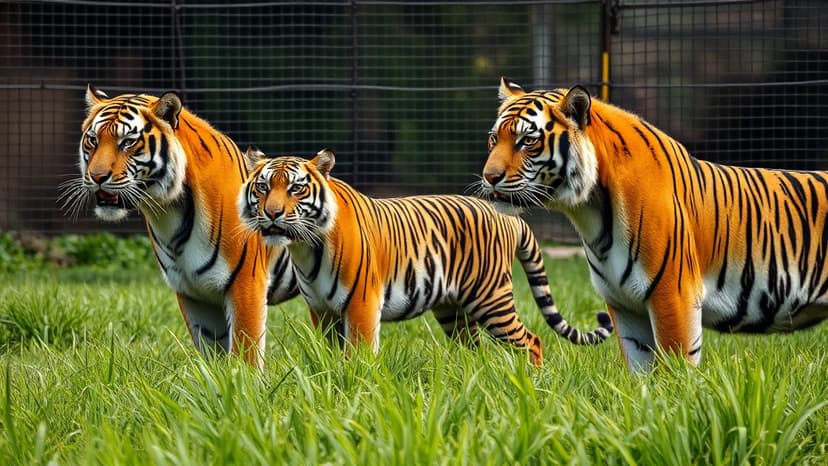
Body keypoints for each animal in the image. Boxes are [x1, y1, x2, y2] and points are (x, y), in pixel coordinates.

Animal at [60, 85, 299, 369]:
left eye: (127, 142)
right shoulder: (191, 288)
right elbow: (211, 350)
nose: (96, 177)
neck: (169, 211)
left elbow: (245, 352)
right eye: (93, 140)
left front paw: (244, 379)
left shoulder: (246, 282)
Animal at [237, 147, 613, 366]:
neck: (305, 246)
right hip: (452, 309)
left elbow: (358, 355)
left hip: (491, 299)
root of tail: (510, 217)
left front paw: (355, 386)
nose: (271, 214)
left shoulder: (361, 304)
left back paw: (533, 383)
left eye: (296, 188)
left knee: (531, 341)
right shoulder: (322, 309)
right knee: (473, 348)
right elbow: (329, 354)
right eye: (263, 187)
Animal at [479, 77, 828, 372]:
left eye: (527, 141)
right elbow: (640, 371)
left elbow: (676, 367)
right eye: (494, 138)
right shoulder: (623, 303)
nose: (489, 177)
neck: (591, 213)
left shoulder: (673, 293)